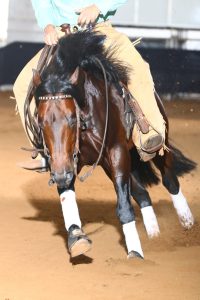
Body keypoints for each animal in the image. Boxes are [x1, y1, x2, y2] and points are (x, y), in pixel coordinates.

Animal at [28, 30, 196, 258]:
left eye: (72, 118)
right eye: (41, 121)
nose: (60, 175)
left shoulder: (116, 152)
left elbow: (124, 206)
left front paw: (134, 254)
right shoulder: (67, 161)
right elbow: (67, 196)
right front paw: (77, 238)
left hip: (155, 148)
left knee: (170, 180)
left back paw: (186, 221)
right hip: (116, 163)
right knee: (142, 193)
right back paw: (153, 234)